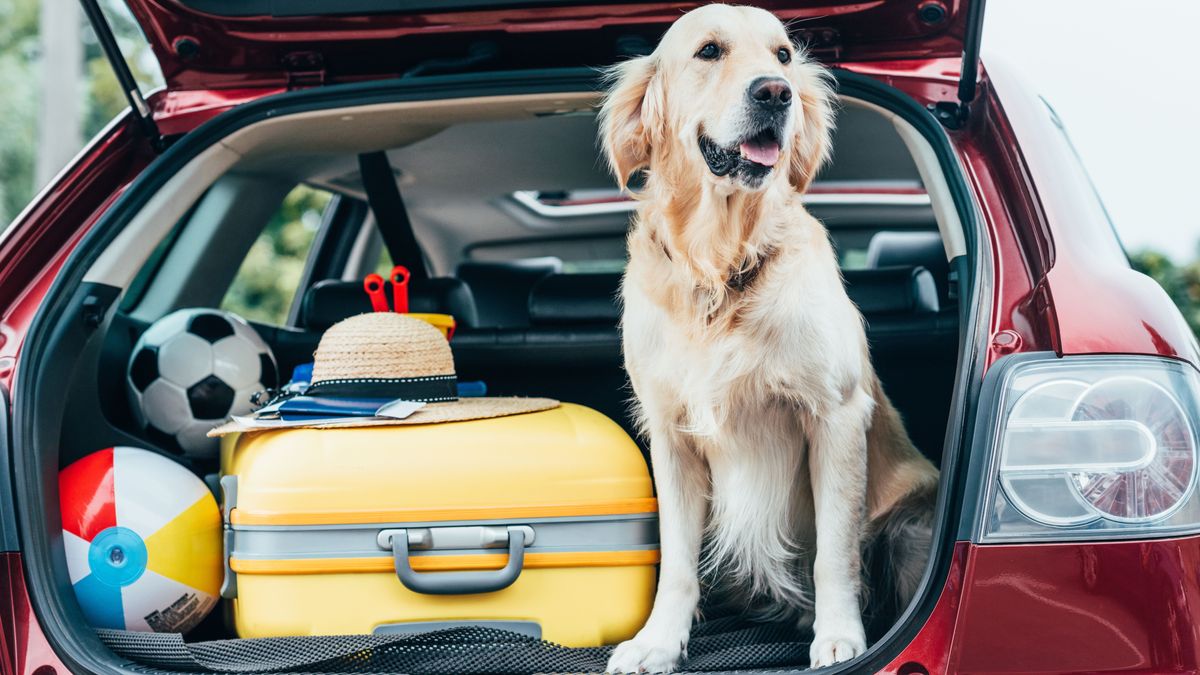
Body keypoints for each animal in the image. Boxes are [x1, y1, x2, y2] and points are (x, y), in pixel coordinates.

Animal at [597, 3, 936, 667]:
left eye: (782, 55)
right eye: (709, 51)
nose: (775, 92)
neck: (721, 266)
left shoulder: (834, 415)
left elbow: (835, 553)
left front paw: (839, 637)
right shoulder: (670, 433)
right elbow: (677, 562)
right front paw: (658, 642)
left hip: (912, 523)